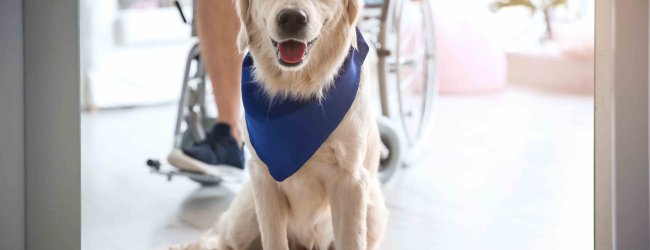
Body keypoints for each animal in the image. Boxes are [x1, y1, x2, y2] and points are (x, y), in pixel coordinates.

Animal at [172, 0, 384, 249]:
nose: (292, 19)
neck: (297, 90)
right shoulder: (263, 177)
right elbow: (273, 239)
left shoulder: (350, 180)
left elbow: (351, 239)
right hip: (245, 215)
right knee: (220, 238)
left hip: (374, 213)